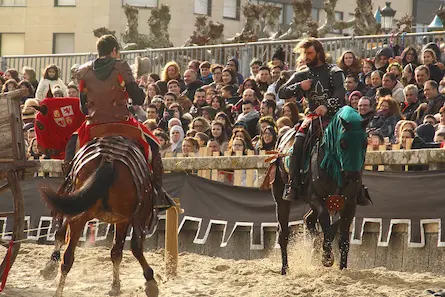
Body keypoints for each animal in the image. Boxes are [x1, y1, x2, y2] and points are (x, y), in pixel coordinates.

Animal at [39, 132, 159, 296]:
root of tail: (108, 159)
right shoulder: (125, 219)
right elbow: (124, 249)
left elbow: (116, 252)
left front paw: (115, 286)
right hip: (130, 215)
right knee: (136, 245)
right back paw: (150, 280)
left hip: (81, 211)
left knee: (68, 251)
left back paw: (58, 285)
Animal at [270, 106, 368, 272]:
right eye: (343, 143)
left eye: (365, 143)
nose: (353, 175)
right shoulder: (316, 198)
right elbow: (326, 222)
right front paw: (327, 256)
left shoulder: (350, 203)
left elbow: (343, 240)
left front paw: (342, 267)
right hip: (281, 198)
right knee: (283, 233)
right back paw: (285, 269)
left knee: (308, 219)